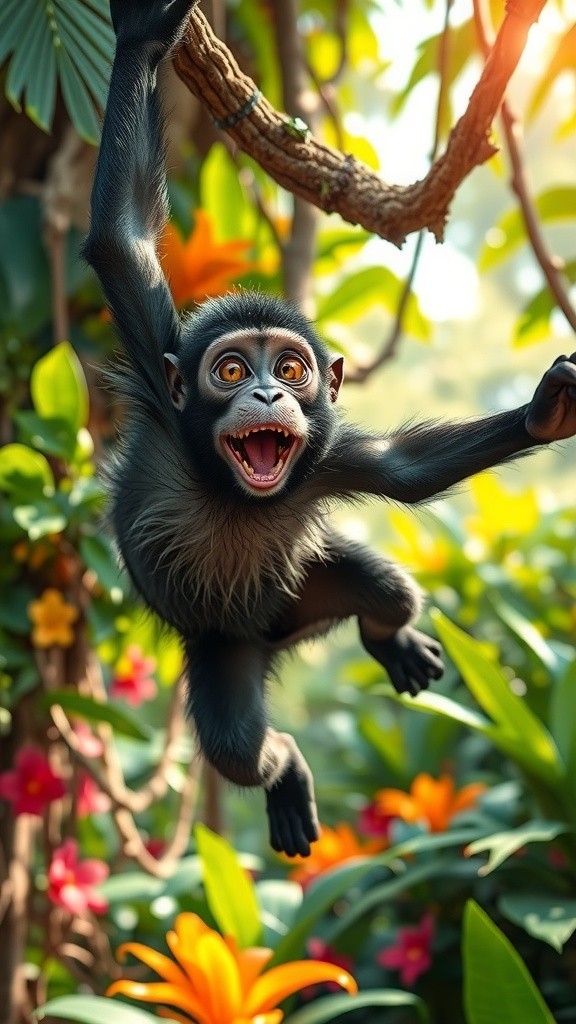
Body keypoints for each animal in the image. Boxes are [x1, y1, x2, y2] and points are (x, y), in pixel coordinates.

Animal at [83, 0, 576, 858]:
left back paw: (391, 639)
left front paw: (546, 412)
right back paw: (285, 773)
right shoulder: (158, 373)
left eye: (291, 369)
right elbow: (120, 240)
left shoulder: (326, 454)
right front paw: (144, 36)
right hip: (224, 647)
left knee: (383, 586)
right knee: (240, 744)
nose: (270, 396)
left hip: (305, 587)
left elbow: (403, 471)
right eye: (231, 372)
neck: (233, 492)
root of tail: (277, 637)